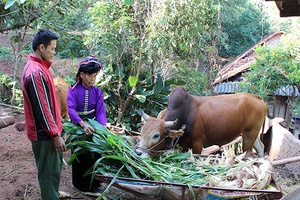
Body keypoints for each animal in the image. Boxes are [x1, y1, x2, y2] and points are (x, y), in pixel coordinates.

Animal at [135, 86, 266, 159]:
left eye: (156, 135)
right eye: (142, 132)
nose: (138, 153)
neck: (184, 113)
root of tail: (257, 98)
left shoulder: (198, 143)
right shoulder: (183, 145)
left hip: (249, 135)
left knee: (248, 154)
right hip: (252, 134)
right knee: (261, 148)